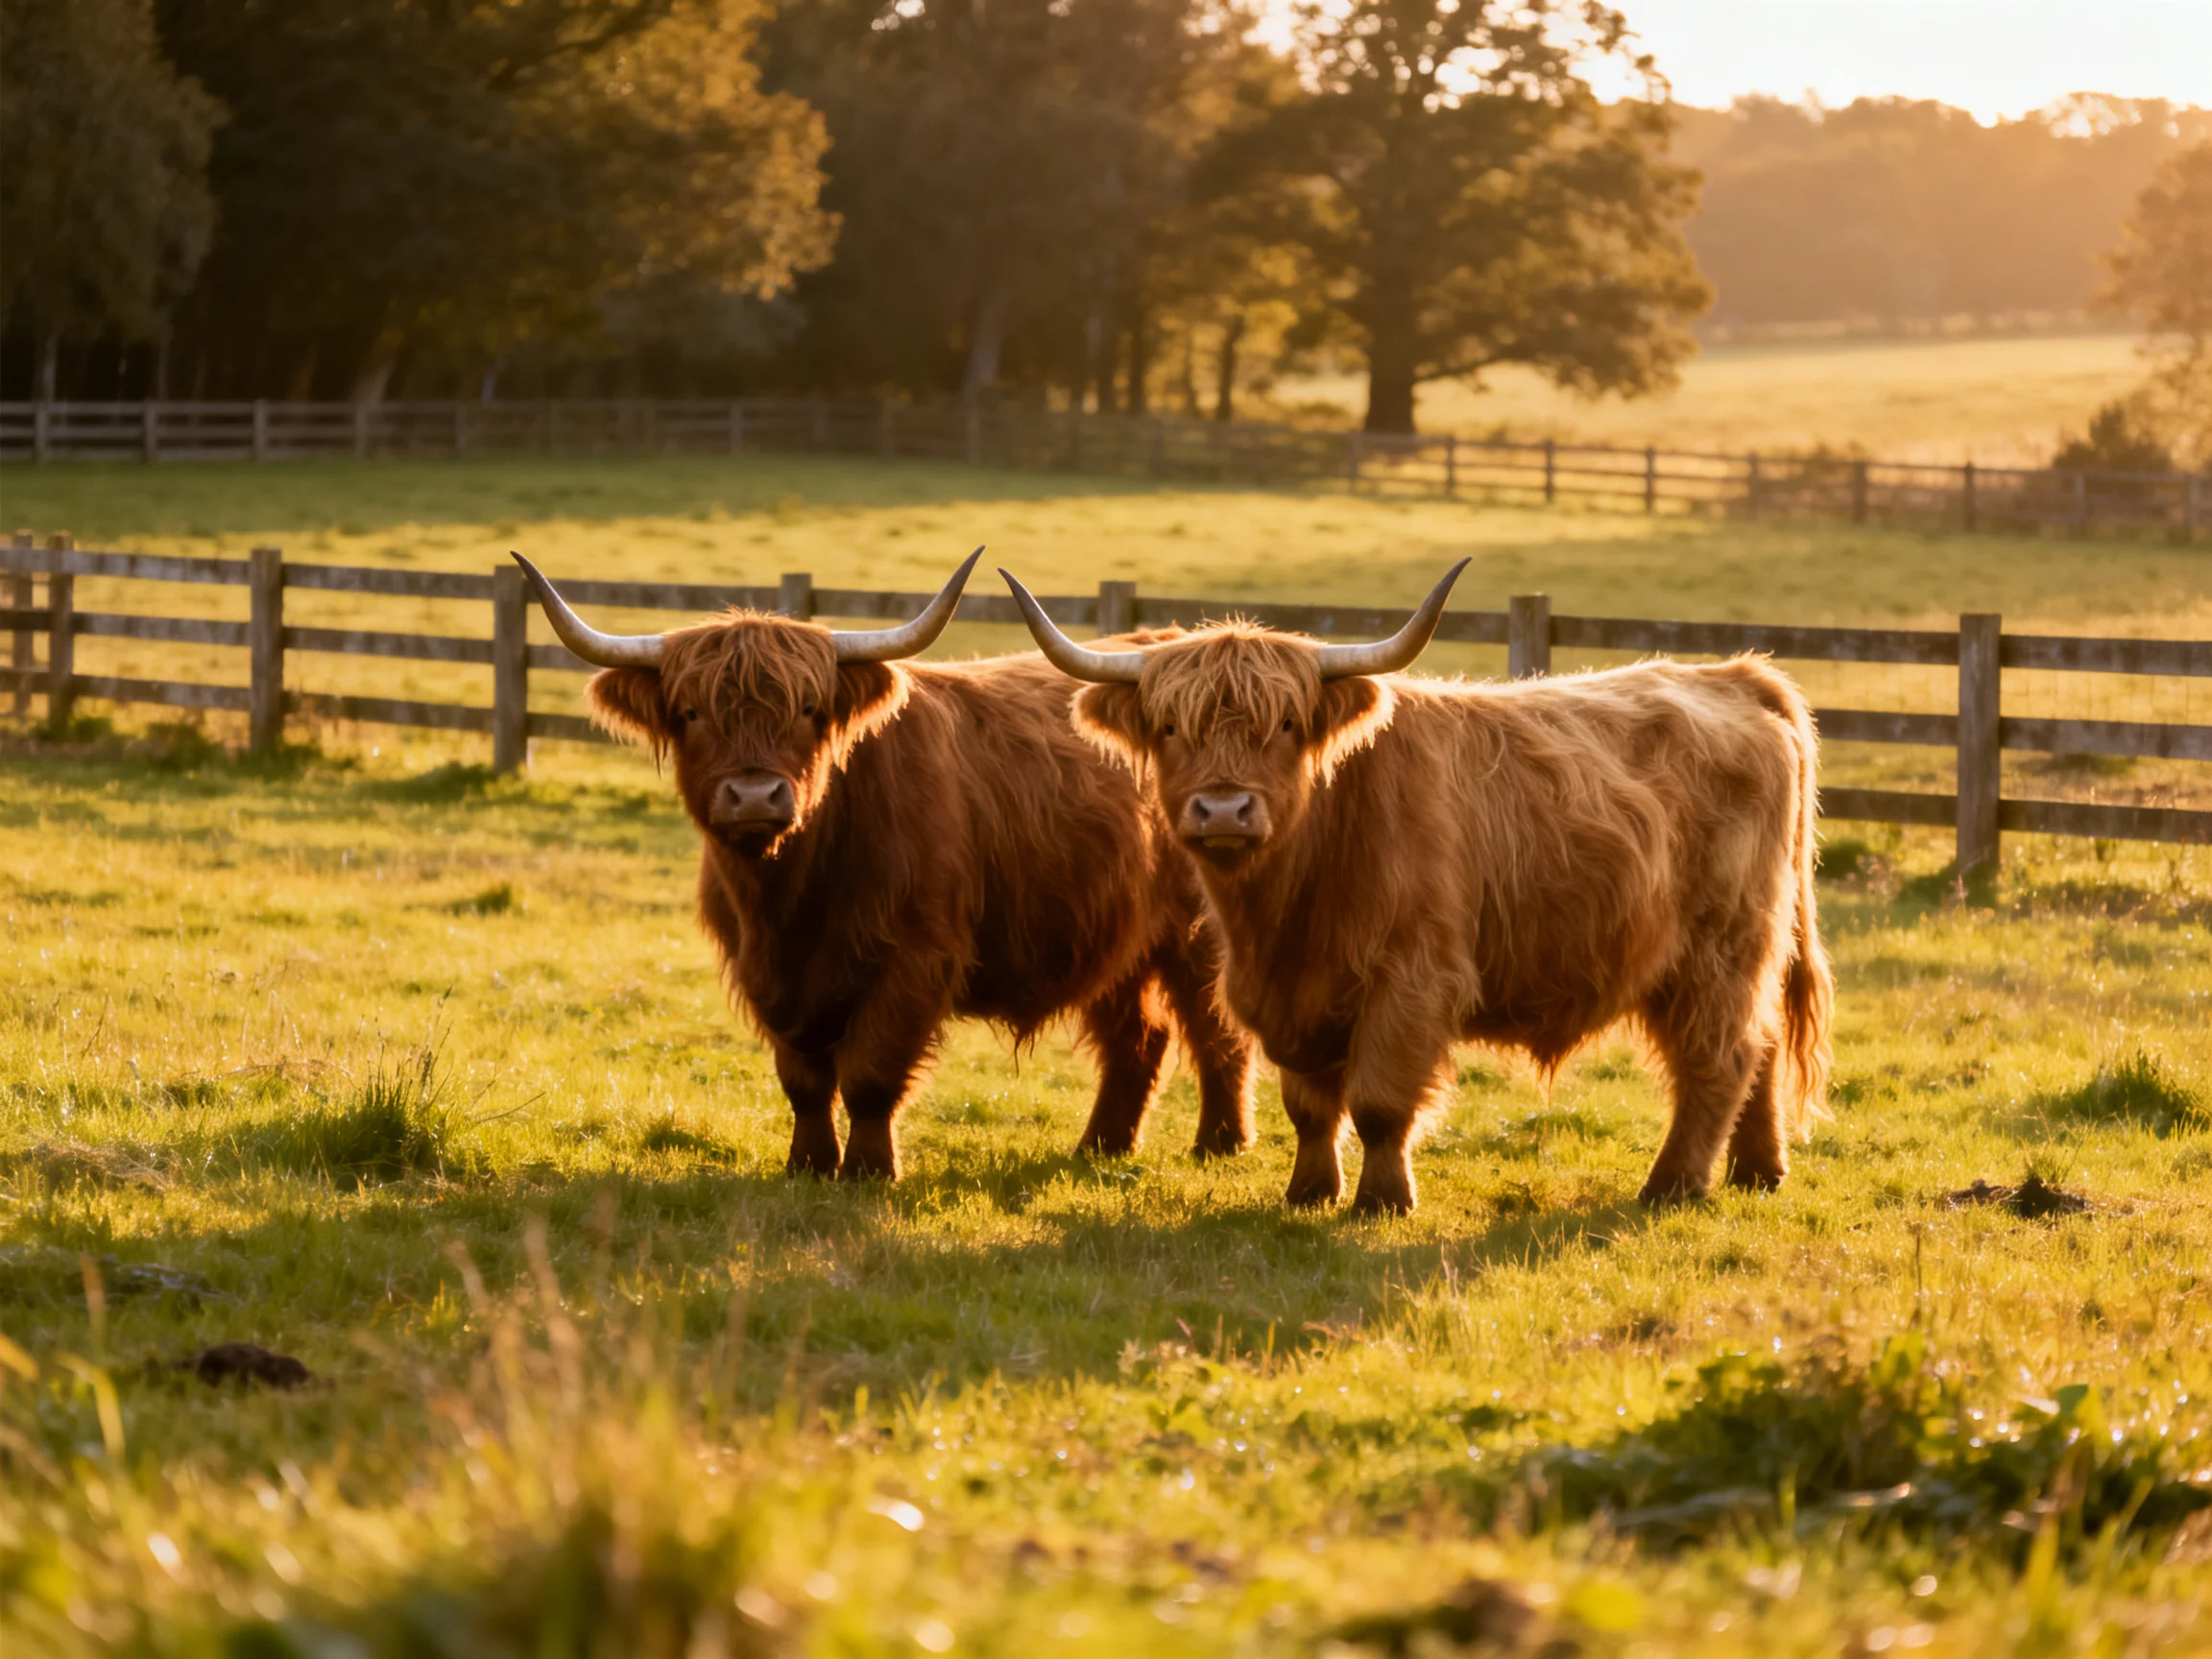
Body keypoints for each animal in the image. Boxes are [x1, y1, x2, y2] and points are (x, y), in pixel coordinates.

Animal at [513, 551, 1254, 1182]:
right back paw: (1100, 1147)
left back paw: (1219, 1144)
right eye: (691, 713)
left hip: (1199, 935)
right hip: (1114, 934)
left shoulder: (914, 959)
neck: (790, 898)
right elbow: (804, 1079)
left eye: (809, 710)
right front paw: (809, 1165)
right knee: (1138, 1038)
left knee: (1217, 1031)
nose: (754, 796)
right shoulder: (771, 975)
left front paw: (870, 1170)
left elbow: (870, 1074)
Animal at [1001, 561, 1833, 1216]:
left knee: (1718, 1057)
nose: (1225, 810)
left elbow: (1378, 1103)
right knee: (1757, 1047)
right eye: (1171, 727)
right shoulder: (1289, 992)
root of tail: (1731, 674)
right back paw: (1758, 1173)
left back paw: (1673, 1185)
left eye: (1288, 724)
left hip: (1719, 946)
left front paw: (1382, 1200)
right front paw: (1309, 1193)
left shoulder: (1411, 980)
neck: (1288, 906)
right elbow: (1309, 1105)